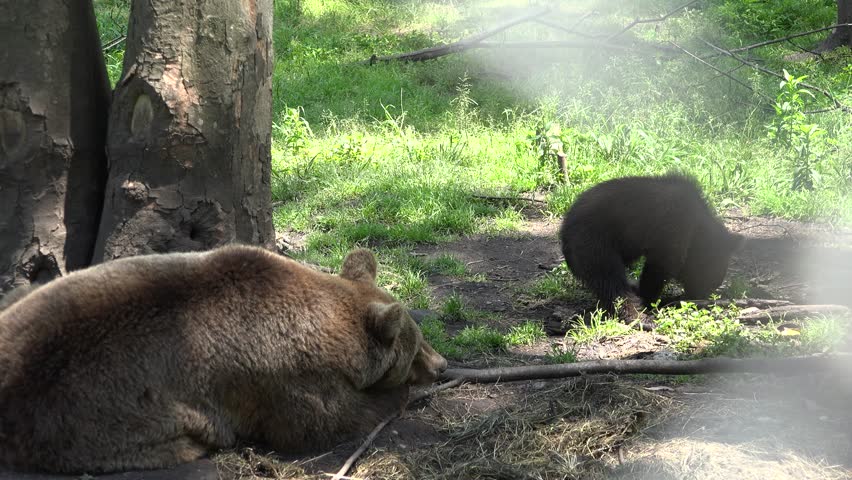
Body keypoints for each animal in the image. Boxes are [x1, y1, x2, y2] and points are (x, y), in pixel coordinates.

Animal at [0, 245, 447, 474]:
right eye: (416, 347)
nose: (441, 365)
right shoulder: (283, 379)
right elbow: (320, 423)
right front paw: (394, 398)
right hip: (88, 423)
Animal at [559, 173, 745, 312]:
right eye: (708, 275)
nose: (701, 297)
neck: (699, 227)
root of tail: (565, 230)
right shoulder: (673, 227)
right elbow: (662, 264)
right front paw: (651, 300)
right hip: (594, 244)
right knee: (610, 280)